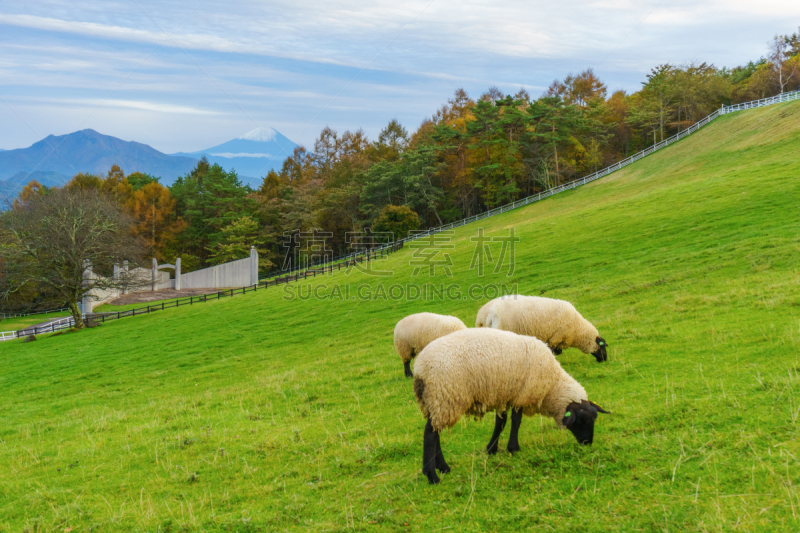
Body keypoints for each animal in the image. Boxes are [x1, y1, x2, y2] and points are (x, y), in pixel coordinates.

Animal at [412, 326, 608, 484]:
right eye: (581, 421)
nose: (587, 443)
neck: (551, 386)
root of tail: (420, 369)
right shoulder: (521, 395)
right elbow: (516, 421)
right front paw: (513, 448)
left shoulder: (505, 396)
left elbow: (501, 423)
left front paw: (492, 449)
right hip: (444, 397)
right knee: (430, 434)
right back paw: (432, 475)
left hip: (434, 401)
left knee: (435, 431)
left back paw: (443, 467)